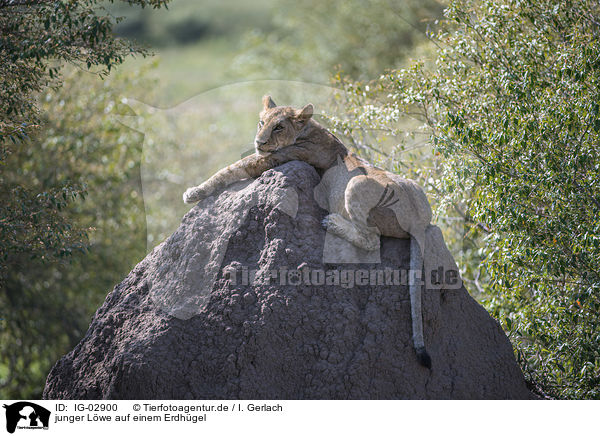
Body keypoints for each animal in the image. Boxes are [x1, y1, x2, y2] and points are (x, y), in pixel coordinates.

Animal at [183, 96, 432, 368]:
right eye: (262, 122)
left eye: (279, 127)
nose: (259, 142)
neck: (309, 130)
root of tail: (420, 222)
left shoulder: (273, 159)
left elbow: (228, 170)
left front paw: (194, 192)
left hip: (356, 184)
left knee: (372, 241)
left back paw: (332, 222)